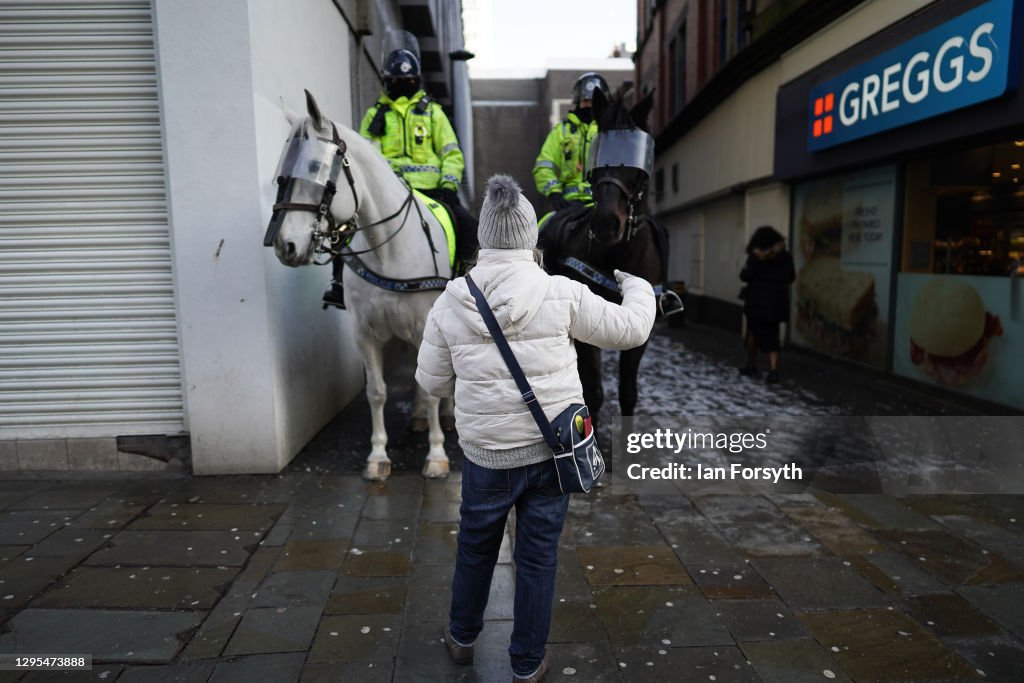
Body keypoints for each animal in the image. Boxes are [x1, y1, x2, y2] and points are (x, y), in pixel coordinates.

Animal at [266, 90, 450, 481]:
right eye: (280, 177)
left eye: (317, 172)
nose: (286, 246)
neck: (388, 250)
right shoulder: (364, 333)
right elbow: (377, 391)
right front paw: (378, 456)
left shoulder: (425, 327)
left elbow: (431, 391)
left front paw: (437, 455)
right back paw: (417, 418)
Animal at [536, 89, 663, 423]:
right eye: (599, 160)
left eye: (634, 164)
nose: (606, 223)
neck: (620, 258)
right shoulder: (584, 331)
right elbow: (593, 393)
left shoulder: (640, 333)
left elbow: (628, 394)